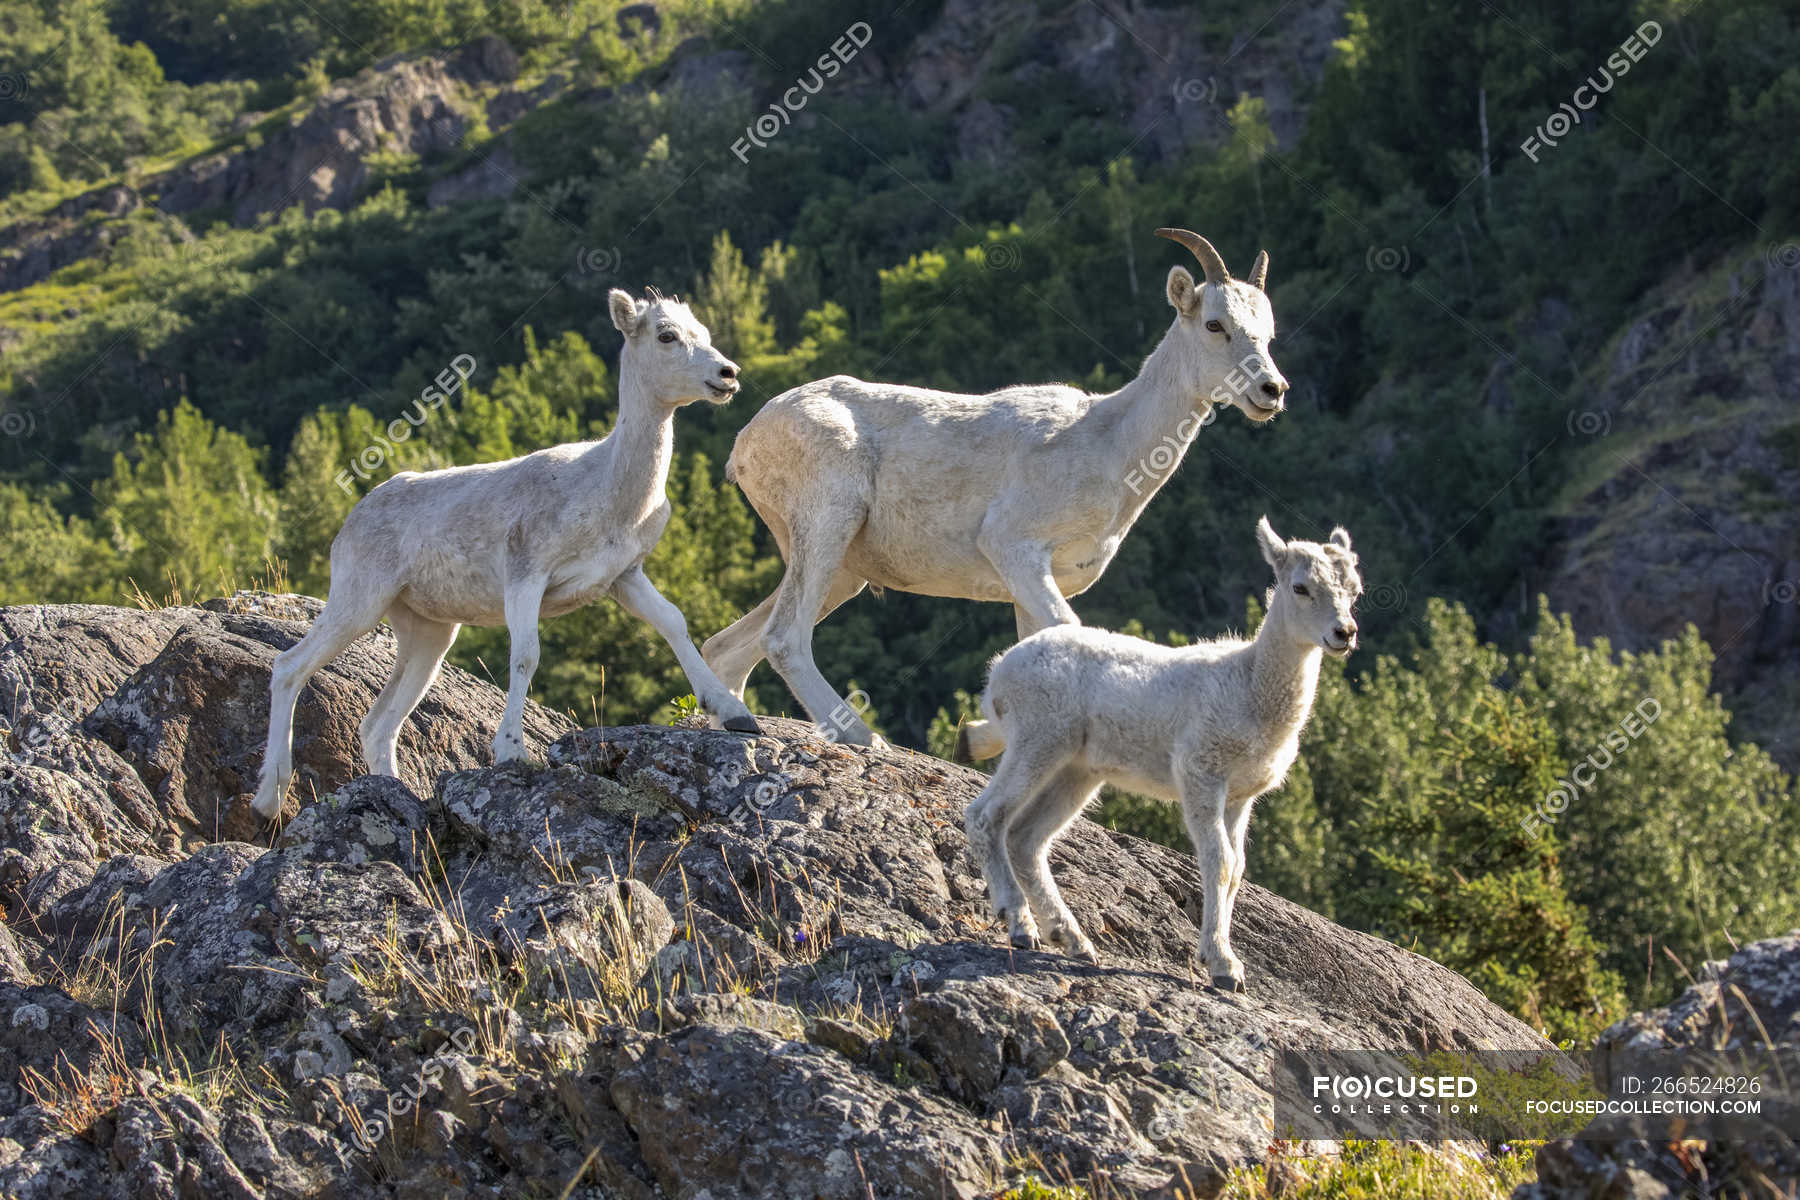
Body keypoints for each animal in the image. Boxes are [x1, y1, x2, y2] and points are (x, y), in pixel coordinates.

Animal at [253, 286, 759, 820]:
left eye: (703, 332)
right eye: (666, 335)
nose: (728, 373)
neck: (605, 488)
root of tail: (351, 520)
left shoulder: (624, 577)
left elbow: (674, 623)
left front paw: (737, 716)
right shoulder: (526, 575)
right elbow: (525, 656)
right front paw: (512, 750)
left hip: (427, 631)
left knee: (377, 724)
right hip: (359, 598)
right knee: (289, 668)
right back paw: (268, 799)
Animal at [702, 228, 1281, 744]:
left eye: (1268, 333)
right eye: (1215, 324)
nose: (1271, 390)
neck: (1109, 444)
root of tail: (746, 441)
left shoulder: (1030, 582)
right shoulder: (1012, 546)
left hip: (842, 571)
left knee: (730, 648)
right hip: (828, 526)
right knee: (783, 638)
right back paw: (866, 739)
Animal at [957, 518, 1353, 993]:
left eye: (1354, 589)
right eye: (1300, 587)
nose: (1344, 633)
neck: (1249, 686)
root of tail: (996, 676)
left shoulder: (1242, 794)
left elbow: (1237, 868)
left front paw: (1224, 959)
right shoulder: (1200, 769)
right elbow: (1219, 863)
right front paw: (1224, 967)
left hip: (1078, 768)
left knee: (1026, 838)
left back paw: (1073, 940)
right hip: (1037, 737)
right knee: (986, 816)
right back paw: (1020, 925)